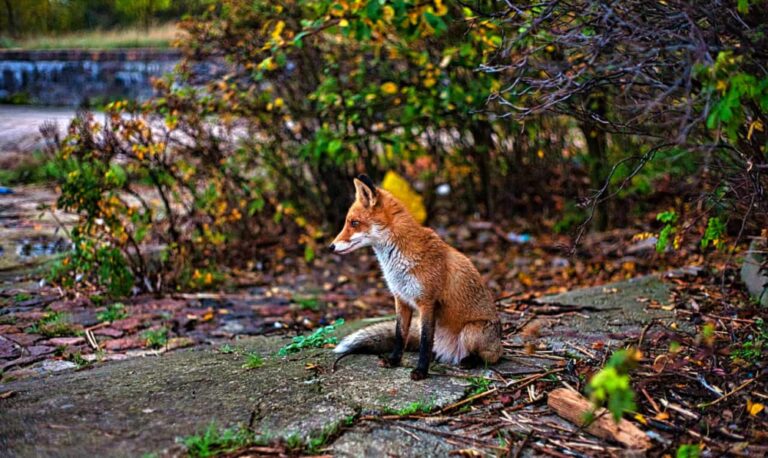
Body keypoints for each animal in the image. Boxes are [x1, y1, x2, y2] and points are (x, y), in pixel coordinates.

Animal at [330, 175, 504, 380]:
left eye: (354, 223)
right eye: (348, 222)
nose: (331, 247)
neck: (397, 261)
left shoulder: (427, 302)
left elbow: (425, 342)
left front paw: (421, 371)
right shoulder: (401, 299)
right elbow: (400, 335)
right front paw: (394, 360)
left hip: (471, 332)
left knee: (486, 357)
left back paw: (468, 361)